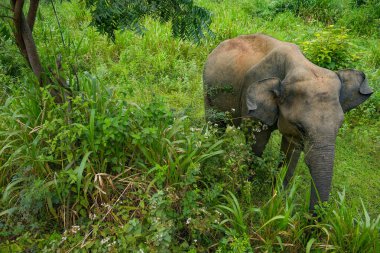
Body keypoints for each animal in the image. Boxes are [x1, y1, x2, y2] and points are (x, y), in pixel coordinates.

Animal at [203, 34, 372, 211]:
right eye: (301, 128)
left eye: (339, 126)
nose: (314, 214)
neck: (301, 65)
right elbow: (257, 143)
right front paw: (244, 192)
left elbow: (291, 151)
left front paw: (278, 196)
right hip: (208, 88)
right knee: (216, 124)